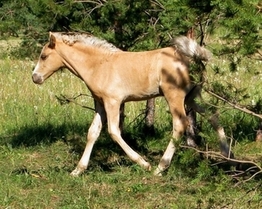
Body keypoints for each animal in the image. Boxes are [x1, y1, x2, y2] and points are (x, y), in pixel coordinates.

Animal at [31, 32, 212, 176]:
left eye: (44, 56)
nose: (35, 77)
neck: (98, 65)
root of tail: (193, 58)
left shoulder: (113, 102)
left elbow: (113, 131)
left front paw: (143, 163)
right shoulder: (100, 103)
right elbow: (93, 132)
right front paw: (78, 170)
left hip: (174, 96)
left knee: (180, 125)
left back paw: (160, 167)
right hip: (191, 97)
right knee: (212, 115)